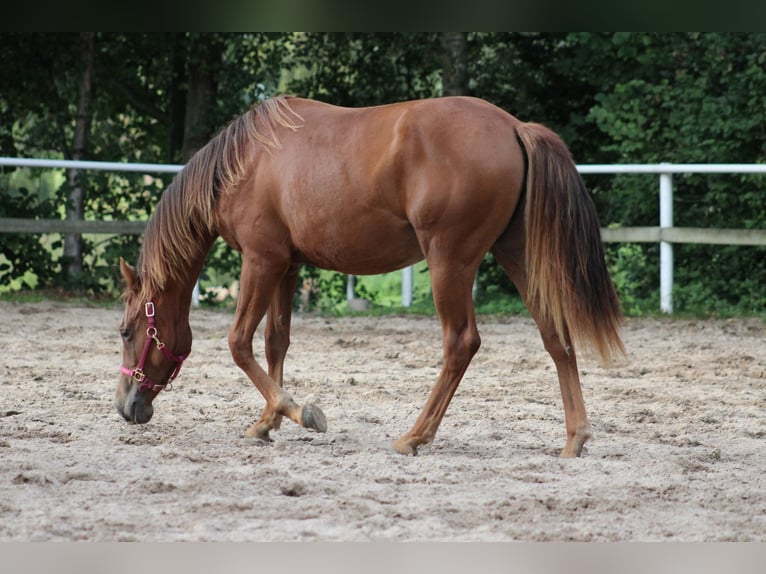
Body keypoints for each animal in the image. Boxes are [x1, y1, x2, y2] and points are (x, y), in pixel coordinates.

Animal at [117, 97, 628, 462]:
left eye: (125, 331)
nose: (126, 407)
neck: (247, 161)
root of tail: (514, 128)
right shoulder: (287, 265)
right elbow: (275, 343)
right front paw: (268, 422)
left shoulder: (261, 261)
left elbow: (239, 343)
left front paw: (300, 413)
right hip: (515, 255)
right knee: (556, 337)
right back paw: (575, 438)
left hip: (450, 263)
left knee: (461, 343)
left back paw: (415, 436)